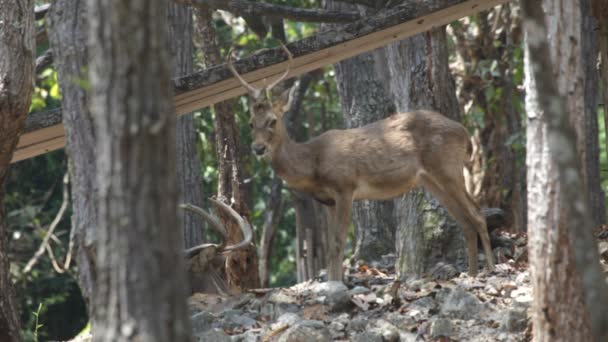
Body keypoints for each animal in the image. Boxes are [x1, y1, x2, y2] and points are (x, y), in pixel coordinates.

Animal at [227, 44, 494, 282]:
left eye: (272, 120)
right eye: (251, 122)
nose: (258, 148)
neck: (313, 162)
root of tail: (464, 133)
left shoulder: (345, 186)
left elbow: (337, 244)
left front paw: (335, 285)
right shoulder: (328, 201)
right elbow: (332, 248)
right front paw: (333, 284)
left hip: (447, 167)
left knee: (477, 214)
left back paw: (490, 269)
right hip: (431, 179)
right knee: (465, 221)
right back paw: (472, 274)